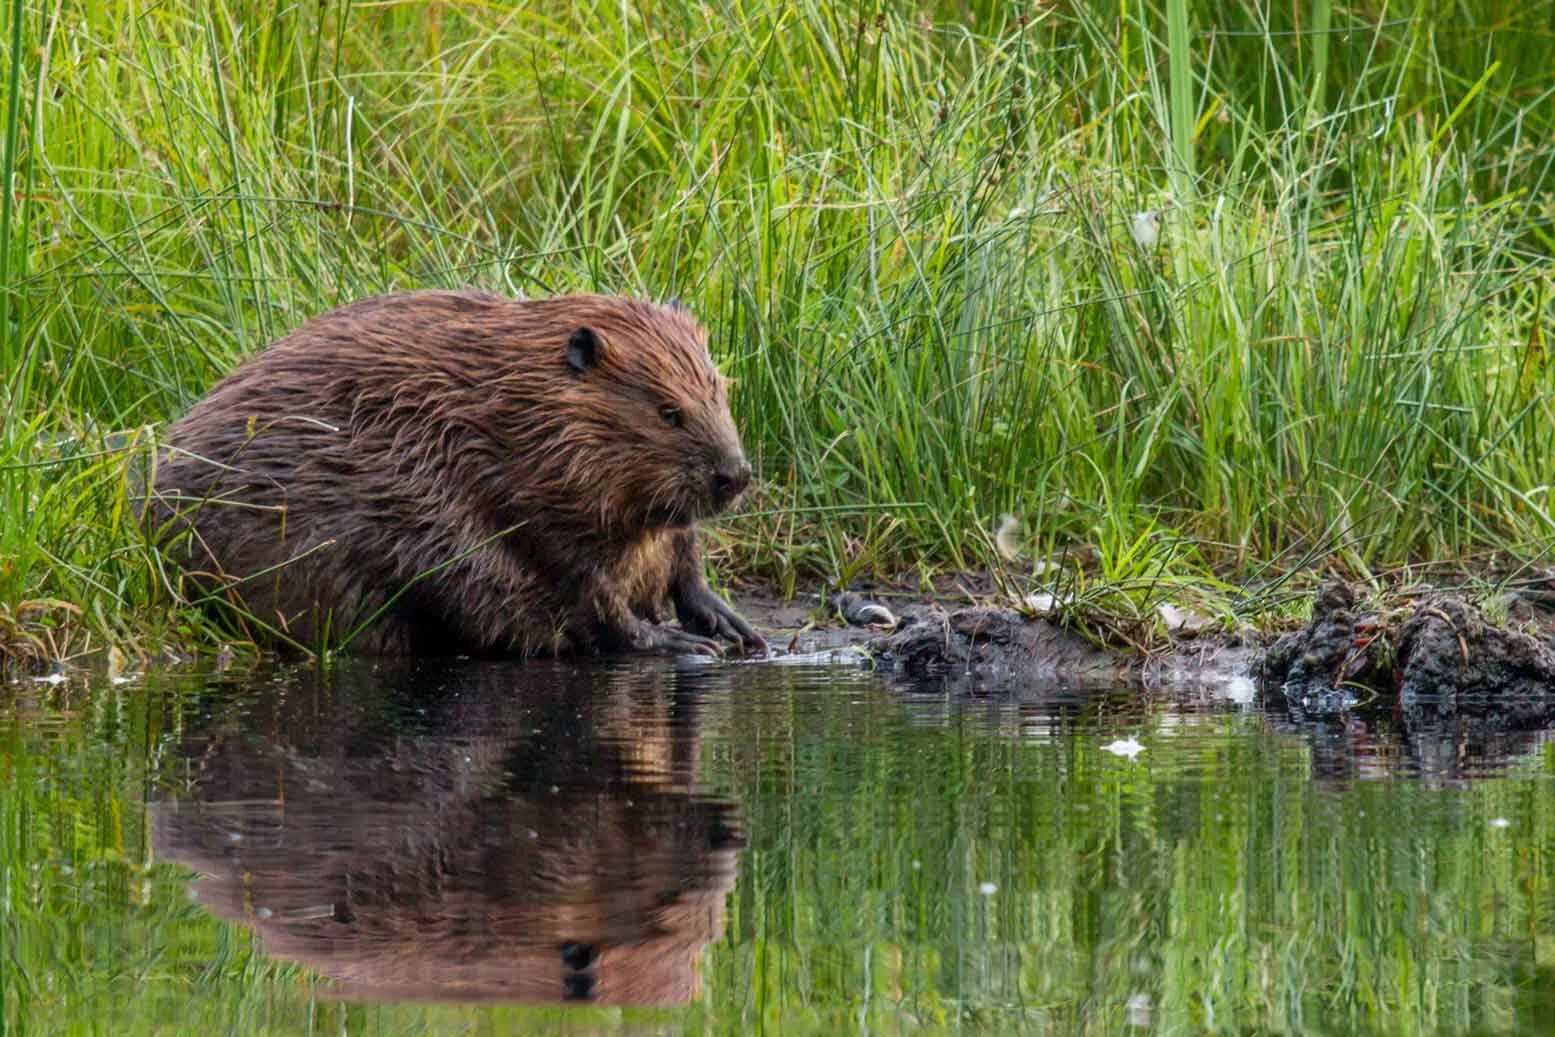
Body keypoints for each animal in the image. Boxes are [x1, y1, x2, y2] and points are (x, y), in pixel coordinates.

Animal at [151, 290, 765, 656]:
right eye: (669, 412)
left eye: (720, 390)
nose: (734, 476)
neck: (514, 409)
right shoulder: (514, 490)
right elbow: (583, 585)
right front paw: (676, 643)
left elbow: (681, 552)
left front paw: (730, 624)